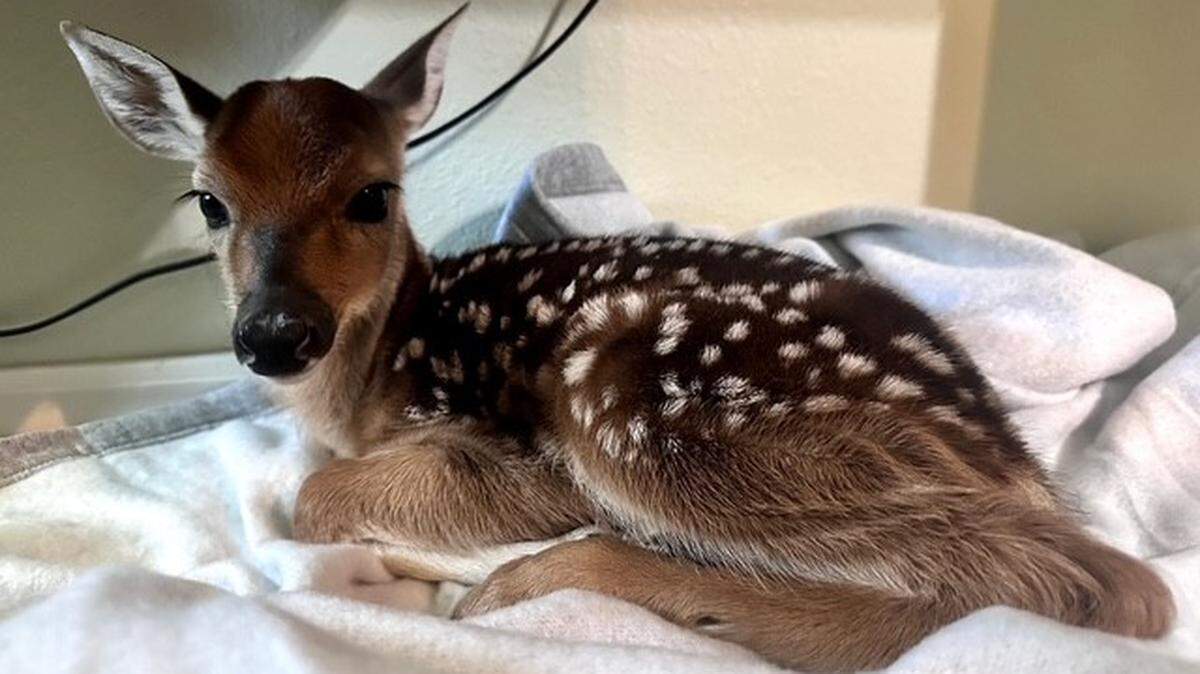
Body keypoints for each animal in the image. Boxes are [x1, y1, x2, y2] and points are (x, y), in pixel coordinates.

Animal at [60, 6, 1173, 671]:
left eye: (373, 195)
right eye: (209, 202)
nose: (275, 333)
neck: (374, 377)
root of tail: (1006, 444)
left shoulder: (510, 446)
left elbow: (315, 494)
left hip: (645, 399)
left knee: (1110, 583)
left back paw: (524, 583)